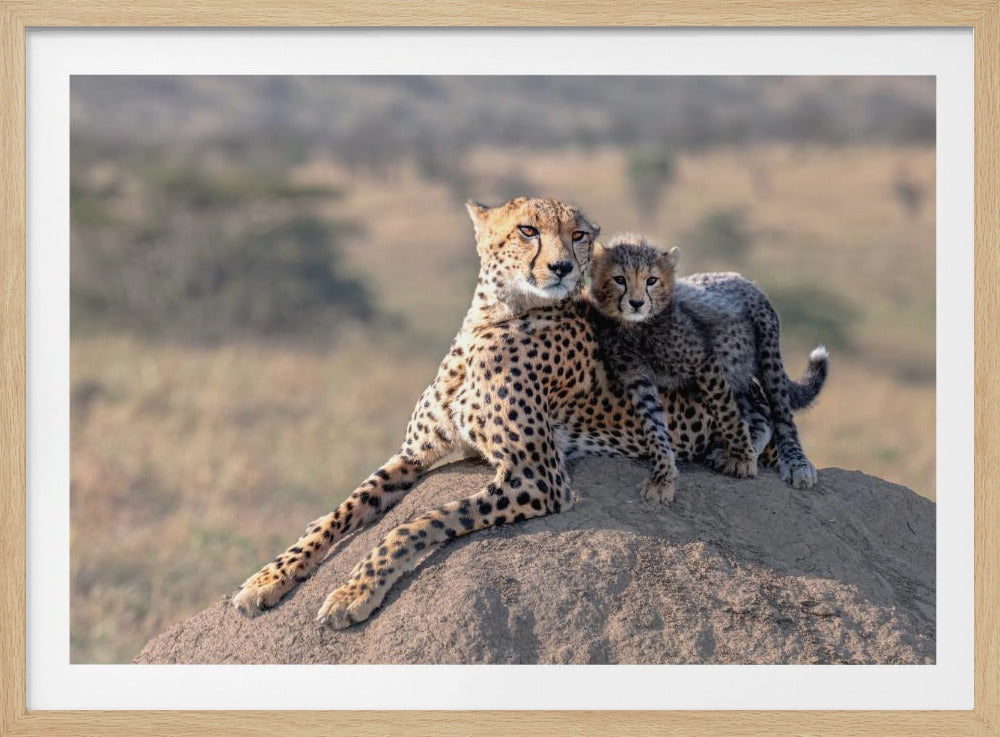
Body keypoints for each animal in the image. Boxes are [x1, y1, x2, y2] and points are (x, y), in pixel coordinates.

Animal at [232, 197, 766, 629]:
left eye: (579, 235)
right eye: (528, 230)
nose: (562, 267)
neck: (493, 318)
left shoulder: (538, 477)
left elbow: (420, 521)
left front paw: (354, 591)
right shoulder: (414, 454)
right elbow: (342, 510)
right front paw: (270, 576)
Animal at [587, 233, 829, 489]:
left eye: (651, 280)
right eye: (619, 279)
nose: (636, 303)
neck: (636, 328)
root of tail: (742, 278)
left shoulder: (704, 362)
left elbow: (726, 413)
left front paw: (743, 459)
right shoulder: (636, 377)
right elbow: (653, 422)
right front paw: (663, 472)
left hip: (767, 356)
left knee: (782, 415)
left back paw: (795, 463)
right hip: (735, 372)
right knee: (760, 415)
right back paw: (738, 450)